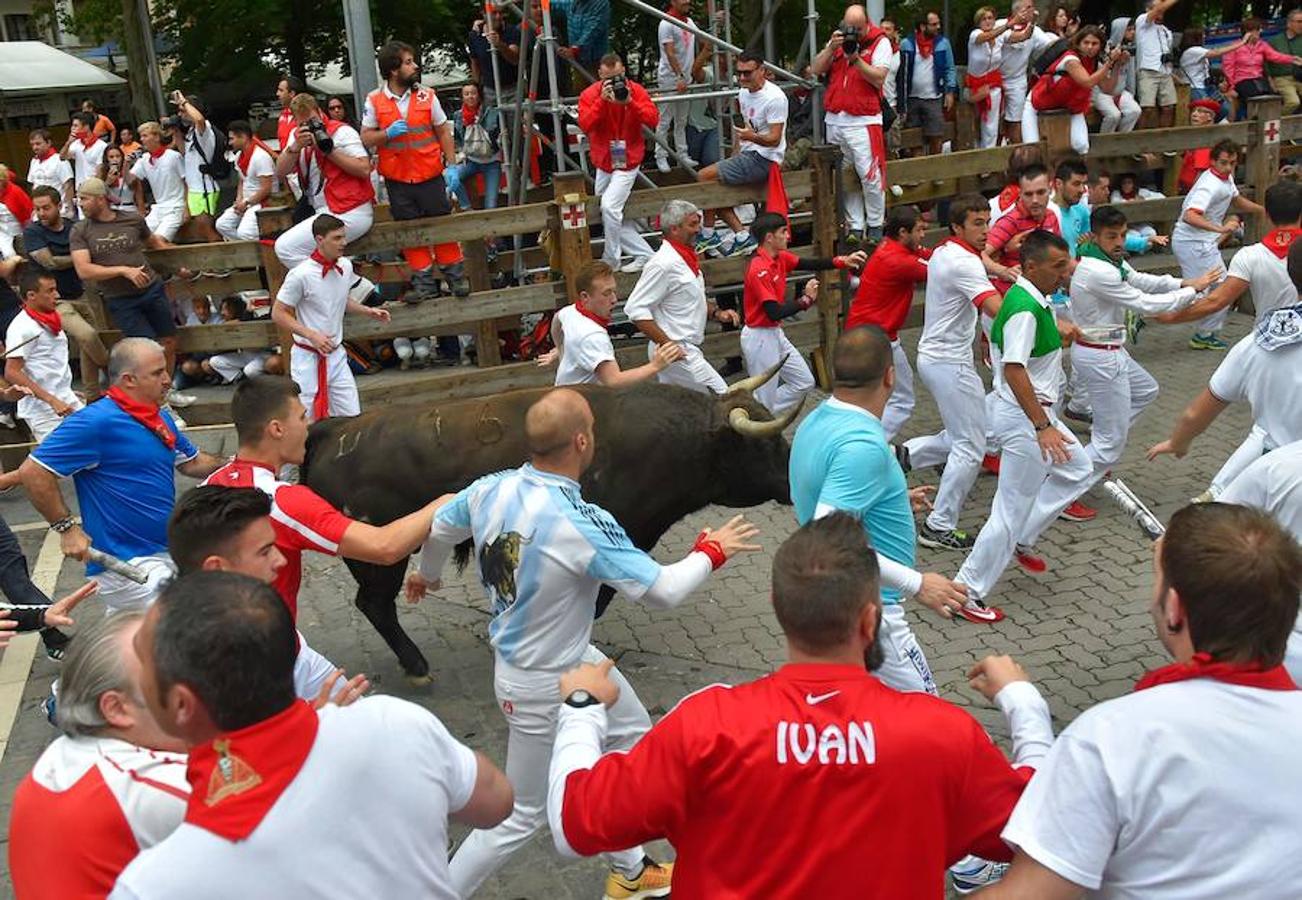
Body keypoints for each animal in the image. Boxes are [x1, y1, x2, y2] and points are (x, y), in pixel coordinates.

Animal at [299, 375, 796, 682]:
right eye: (767, 442)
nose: (796, 480)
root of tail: (336, 429)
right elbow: (593, 604)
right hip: (379, 558)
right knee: (375, 604)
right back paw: (417, 664)